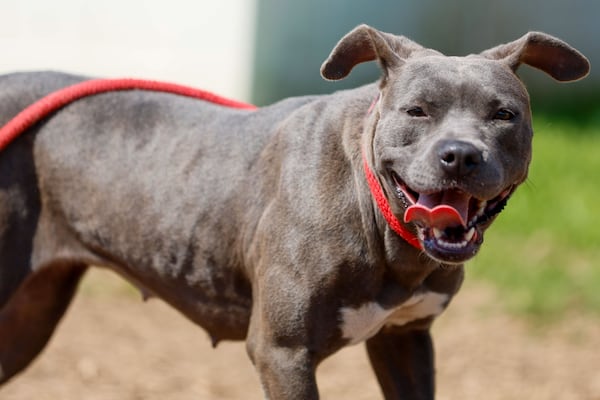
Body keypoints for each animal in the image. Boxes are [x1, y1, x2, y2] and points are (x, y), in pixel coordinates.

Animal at [0, 25, 592, 400]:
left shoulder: (405, 341)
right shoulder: (283, 353)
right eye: (417, 111)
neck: (377, 216)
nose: (461, 155)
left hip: (30, 314)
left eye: (504, 115)